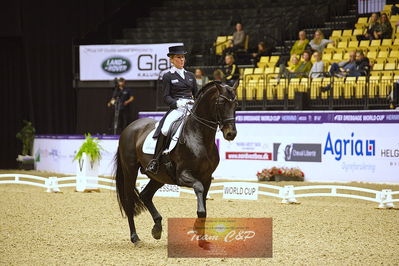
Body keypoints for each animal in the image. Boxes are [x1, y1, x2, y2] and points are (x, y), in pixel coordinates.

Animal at [113, 81, 238, 245]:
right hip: (130, 171)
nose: (231, 134)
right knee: (129, 202)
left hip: (159, 176)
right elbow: (198, 190)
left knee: (145, 195)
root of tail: (128, 127)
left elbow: (204, 208)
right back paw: (135, 238)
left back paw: (157, 228)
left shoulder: (206, 178)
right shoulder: (183, 175)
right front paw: (197, 230)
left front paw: (202, 239)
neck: (199, 136)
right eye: (221, 103)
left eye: (236, 104)